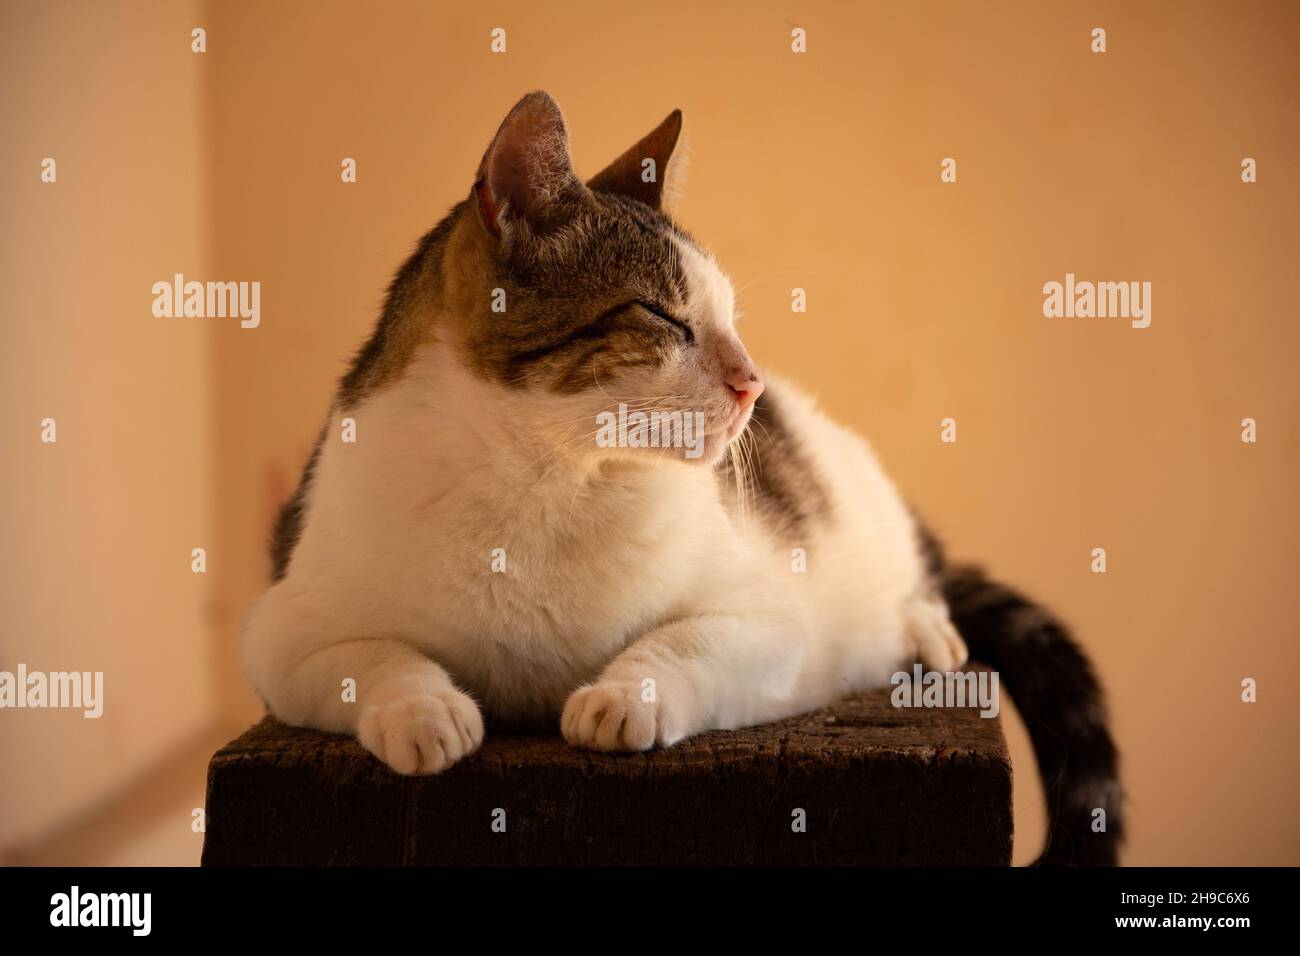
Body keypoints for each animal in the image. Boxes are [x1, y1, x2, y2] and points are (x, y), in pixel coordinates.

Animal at [241, 91, 1118, 868]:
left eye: (730, 318)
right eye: (664, 316)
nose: (752, 384)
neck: (546, 481)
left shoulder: (769, 617)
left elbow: (683, 641)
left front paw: (625, 695)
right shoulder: (282, 632)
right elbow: (373, 659)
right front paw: (423, 709)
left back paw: (923, 629)